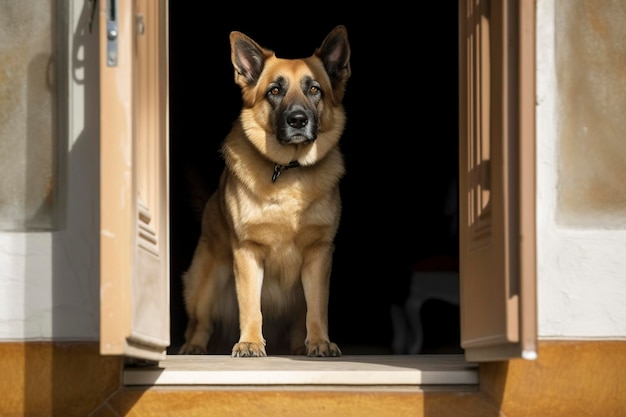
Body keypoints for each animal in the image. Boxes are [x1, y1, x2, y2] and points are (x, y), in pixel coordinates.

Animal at [178, 26, 348, 358]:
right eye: (274, 91)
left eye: (314, 89)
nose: (298, 120)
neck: (289, 170)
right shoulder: (248, 252)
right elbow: (251, 307)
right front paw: (250, 342)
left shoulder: (319, 254)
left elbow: (317, 308)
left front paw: (320, 341)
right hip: (206, 284)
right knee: (200, 323)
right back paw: (194, 347)